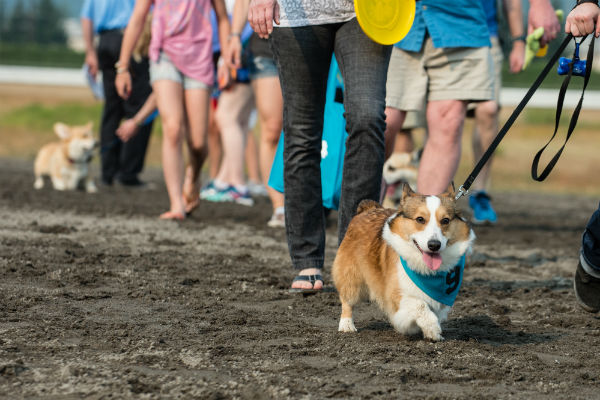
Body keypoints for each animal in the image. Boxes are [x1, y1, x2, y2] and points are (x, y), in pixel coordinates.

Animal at [332, 184, 474, 340]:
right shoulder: (396, 294)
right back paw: (346, 325)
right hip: (351, 277)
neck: (425, 270)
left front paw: (429, 332)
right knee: (347, 300)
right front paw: (432, 328)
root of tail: (368, 209)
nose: (434, 245)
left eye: (445, 221)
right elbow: (420, 305)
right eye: (420, 219)